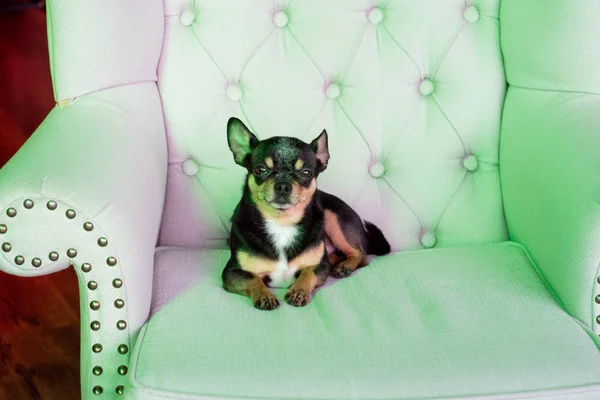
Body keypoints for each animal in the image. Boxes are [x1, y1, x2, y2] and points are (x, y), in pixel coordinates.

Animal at [223, 117, 392, 310]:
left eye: (306, 173)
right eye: (260, 170)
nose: (283, 185)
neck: (282, 223)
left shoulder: (320, 267)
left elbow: (308, 272)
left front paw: (299, 291)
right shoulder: (232, 272)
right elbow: (252, 278)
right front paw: (264, 295)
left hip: (333, 219)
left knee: (361, 256)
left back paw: (344, 266)